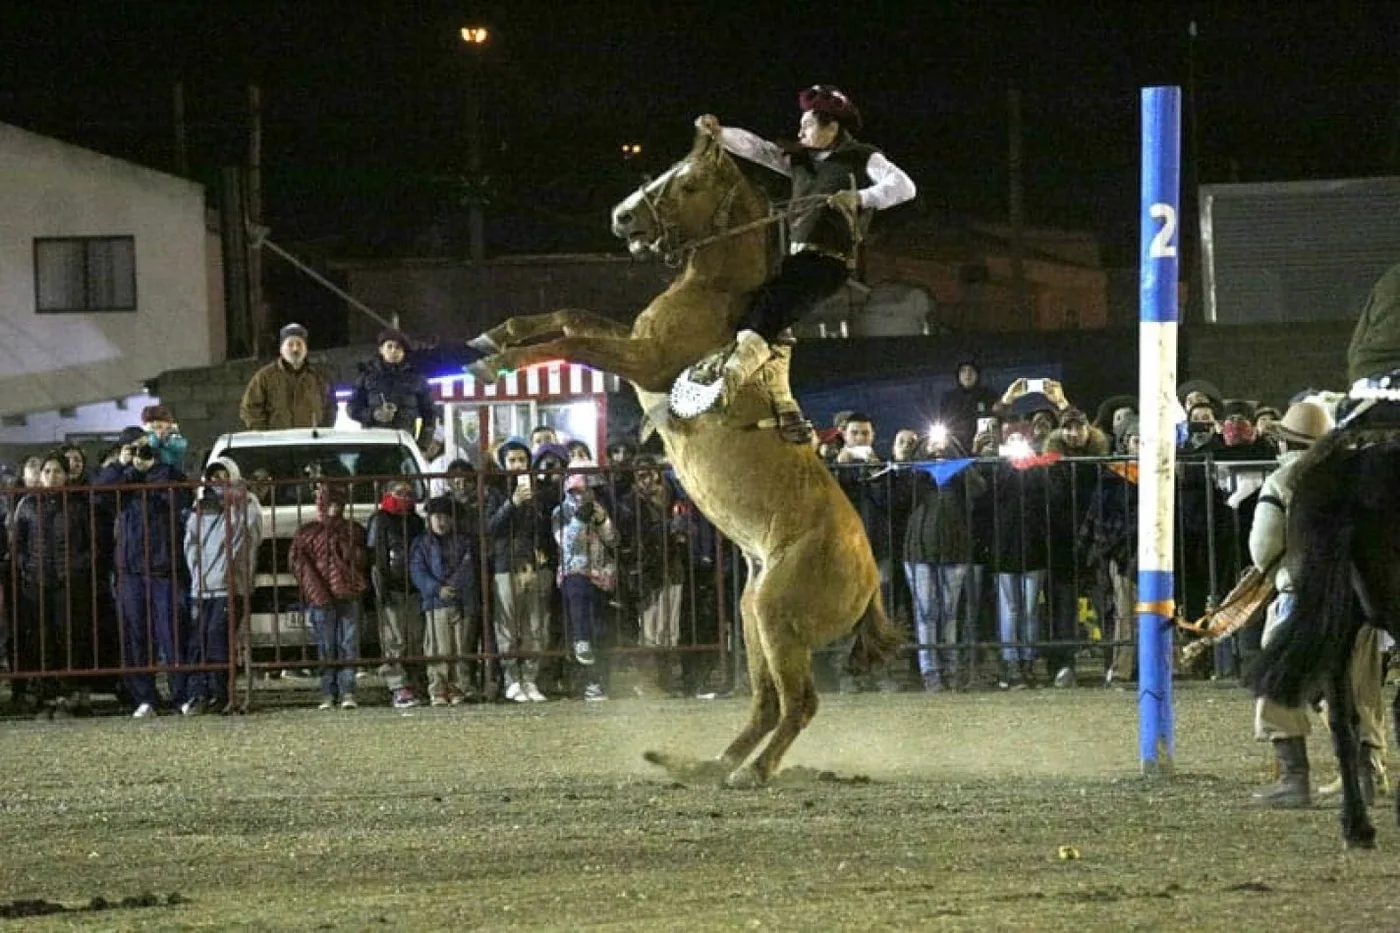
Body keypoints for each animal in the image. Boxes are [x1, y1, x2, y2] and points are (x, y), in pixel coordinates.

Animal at [459, 116, 896, 784]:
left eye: (687, 182)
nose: (621, 217)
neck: (714, 289)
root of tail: (870, 581)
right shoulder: (635, 342)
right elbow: (571, 315)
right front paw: (493, 337)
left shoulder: (647, 360)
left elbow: (575, 338)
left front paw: (496, 362)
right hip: (752, 613)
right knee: (767, 702)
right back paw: (707, 764)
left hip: (778, 618)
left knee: (799, 703)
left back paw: (750, 773)